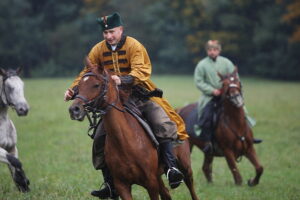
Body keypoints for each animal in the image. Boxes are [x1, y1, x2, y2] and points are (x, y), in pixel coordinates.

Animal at [68, 59, 199, 200]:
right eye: (79, 85)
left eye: (96, 85)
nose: (74, 110)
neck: (124, 141)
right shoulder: (122, 186)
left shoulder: (151, 183)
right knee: (166, 193)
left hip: (185, 168)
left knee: (191, 187)